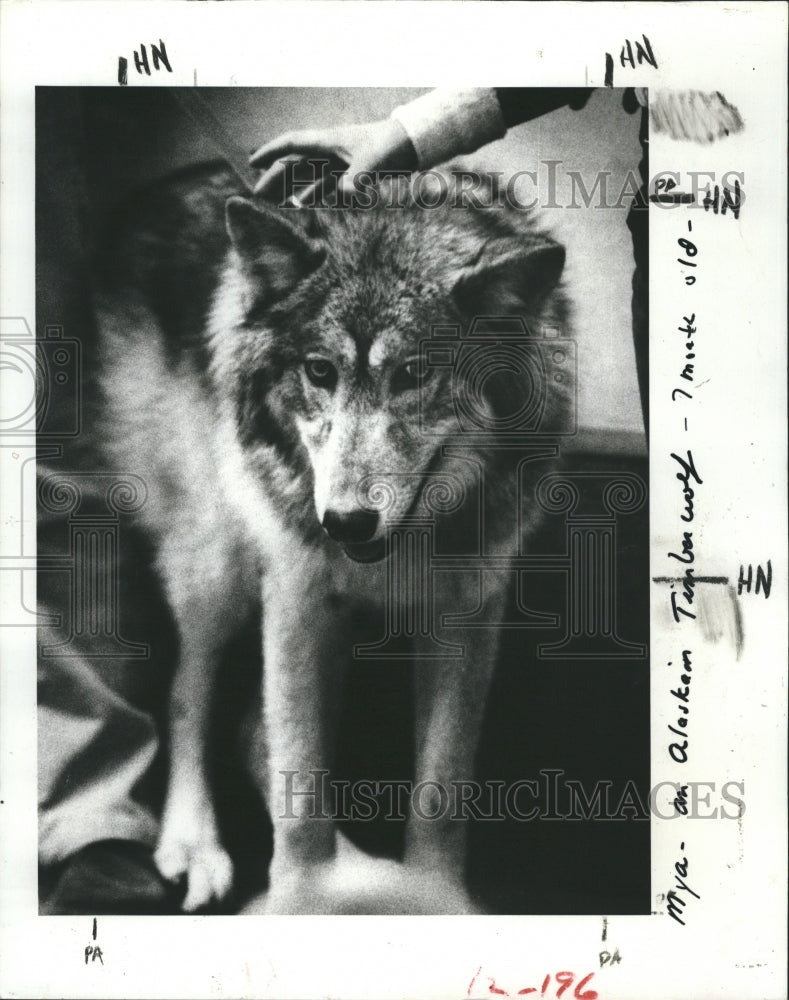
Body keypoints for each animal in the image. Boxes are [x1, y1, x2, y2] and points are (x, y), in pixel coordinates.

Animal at [96, 162, 571, 913]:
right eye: (319, 371)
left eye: (413, 374)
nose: (345, 523)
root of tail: (171, 181)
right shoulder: (297, 593)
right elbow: (301, 794)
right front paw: (296, 903)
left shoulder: (467, 613)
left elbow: (441, 790)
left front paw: (435, 896)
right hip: (219, 563)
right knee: (189, 694)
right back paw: (197, 845)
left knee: (251, 727)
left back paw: (359, 876)